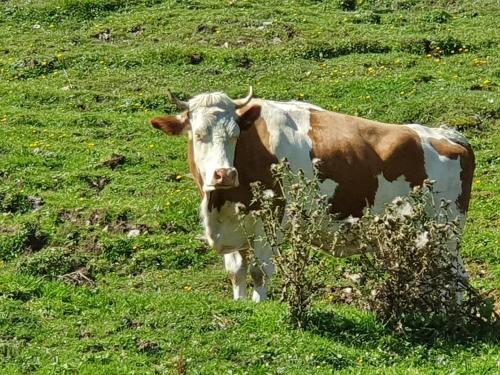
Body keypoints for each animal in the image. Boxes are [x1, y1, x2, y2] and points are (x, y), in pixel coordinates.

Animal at [149, 87, 476, 302]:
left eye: (235, 135)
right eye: (198, 134)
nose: (224, 174)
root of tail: (448, 135)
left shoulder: (271, 221)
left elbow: (259, 271)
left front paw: (257, 306)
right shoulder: (234, 227)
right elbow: (237, 272)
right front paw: (240, 305)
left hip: (445, 231)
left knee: (457, 275)